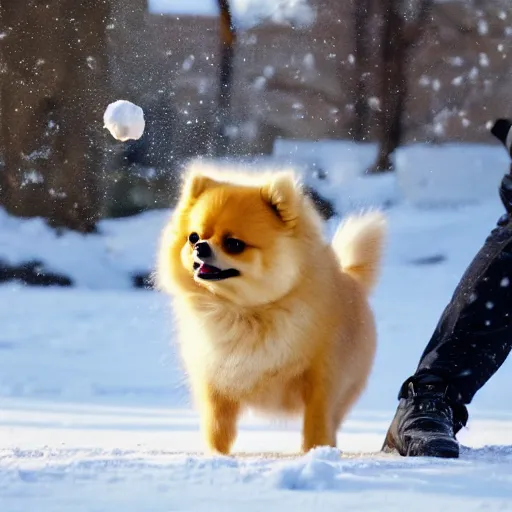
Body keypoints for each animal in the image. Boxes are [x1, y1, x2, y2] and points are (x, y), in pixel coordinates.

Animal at [154, 162, 386, 454]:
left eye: (234, 244)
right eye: (193, 237)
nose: (200, 247)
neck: (244, 311)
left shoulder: (323, 376)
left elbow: (317, 420)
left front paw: (315, 452)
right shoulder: (216, 378)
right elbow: (218, 427)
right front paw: (216, 455)